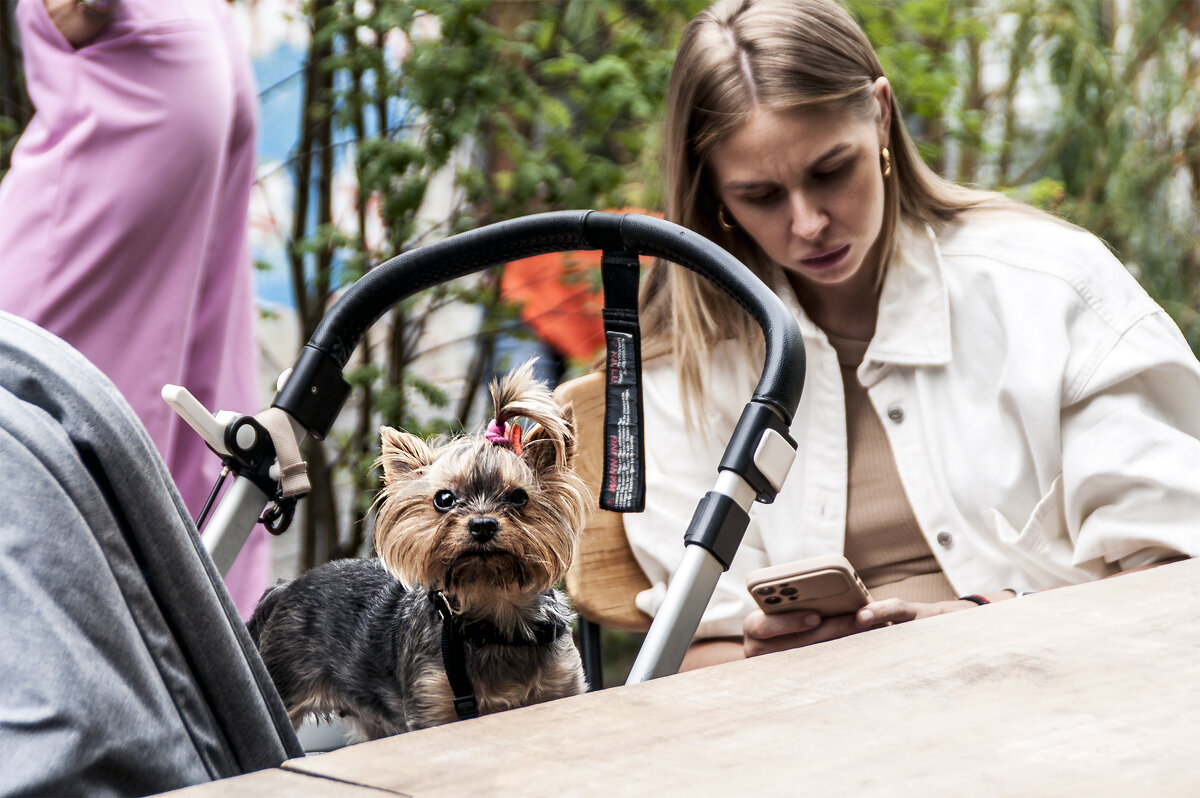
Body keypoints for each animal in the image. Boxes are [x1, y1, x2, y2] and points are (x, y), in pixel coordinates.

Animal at [247, 362, 590, 739]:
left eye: (518, 497)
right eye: (444, 499)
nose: (483, 524)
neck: (494, 618)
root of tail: (284, 588)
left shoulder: (563, 687)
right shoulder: (433, 705)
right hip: (282, 689)